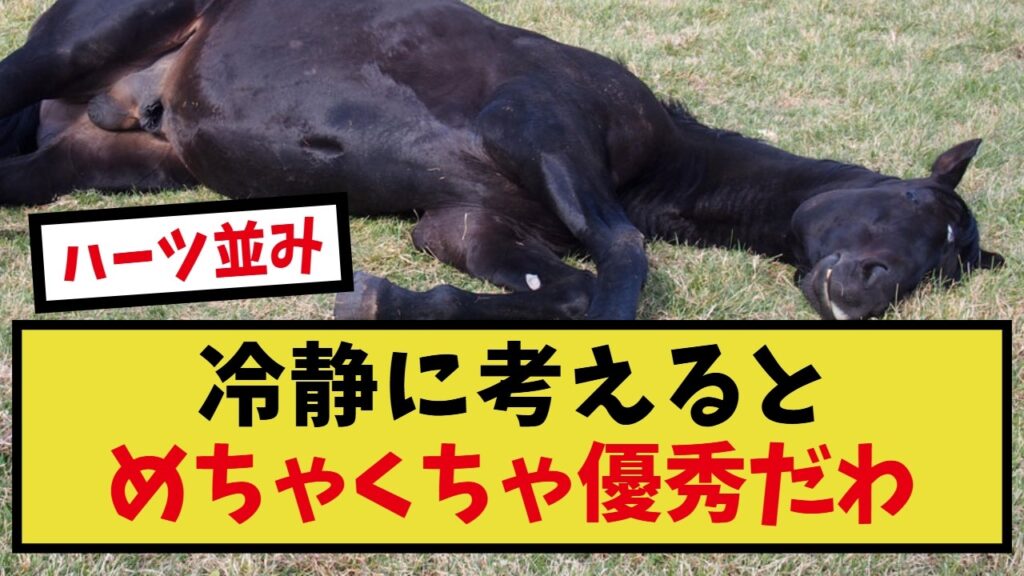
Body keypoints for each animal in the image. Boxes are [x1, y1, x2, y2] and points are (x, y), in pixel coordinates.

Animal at [0, 0, 1004, 320]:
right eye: (920, 208)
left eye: (942, 269)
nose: (867, 293)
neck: (662, 164)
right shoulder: (537, 124)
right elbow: (621, 270)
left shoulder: (470, 221)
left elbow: (560, 287)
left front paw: (393, 301)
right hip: (81, 44)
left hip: (117, 161)